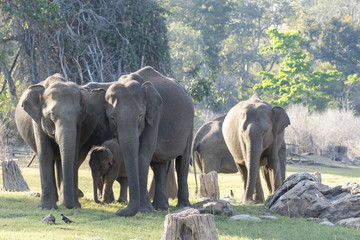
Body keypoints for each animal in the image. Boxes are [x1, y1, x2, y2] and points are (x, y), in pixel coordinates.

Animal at [14, 74, 102, 209]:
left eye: (79, 114)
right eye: (51, 114)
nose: (69, 206)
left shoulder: (80, 125)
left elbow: (74, 154)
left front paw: (73, 205)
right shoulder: (37, 121)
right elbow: (45, 153)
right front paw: (45, 208)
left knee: (61, 160)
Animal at [93, 66, 194, 217]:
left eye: (140, 115)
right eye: (112, 118)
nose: (118, 211)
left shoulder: (155, 115)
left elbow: (143, 154)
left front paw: (144, 210)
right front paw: (146, 209)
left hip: (190, 125)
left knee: (182, 163)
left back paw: (183, 205)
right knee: (160, 166)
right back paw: (161, 207)